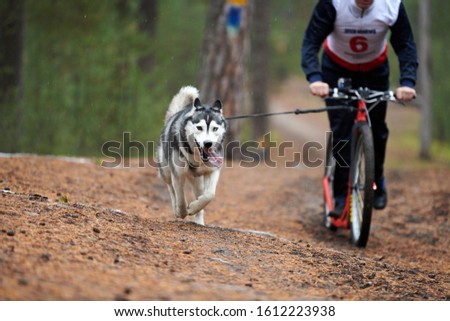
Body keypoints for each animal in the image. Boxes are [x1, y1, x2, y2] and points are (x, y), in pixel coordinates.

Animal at [158, 86, 229, 224]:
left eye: (215, 129)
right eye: (199, 127)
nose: (208, 143)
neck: (198, 159)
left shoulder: (213, 170)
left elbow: (209, 195)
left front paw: (193, 208)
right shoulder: (178, 174)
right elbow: (180, 197)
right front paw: (182, 211)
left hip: (198, 182)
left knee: (200, 196)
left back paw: (199, 221)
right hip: (166, 172)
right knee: (171, 189)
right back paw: (176, 208)